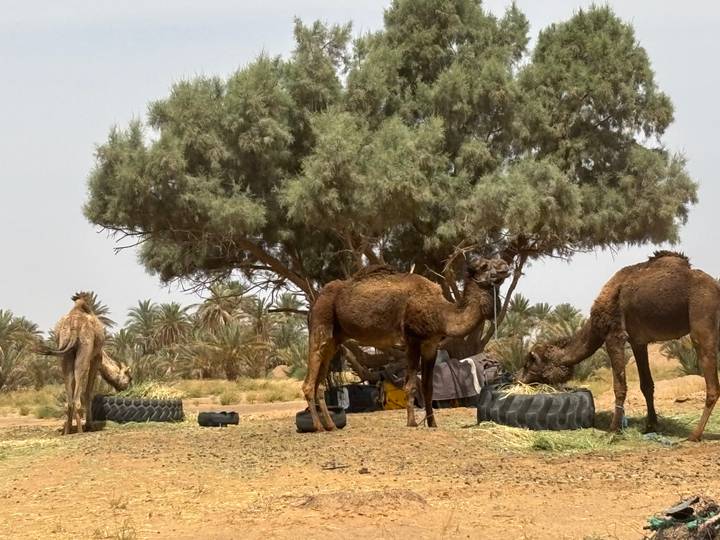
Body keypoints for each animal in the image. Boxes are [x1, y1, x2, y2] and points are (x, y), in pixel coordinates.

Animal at [40, 292, 106, 434]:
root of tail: (74, 326)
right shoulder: (97, 357)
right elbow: (88, 391)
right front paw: (89, 426)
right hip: (85, 348)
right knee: (78, 382)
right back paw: (81, 430)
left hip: (65, 352)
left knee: (69, 390)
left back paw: (67, 431)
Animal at [303, 256, 511, 432]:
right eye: (484, 266)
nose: (505, 265)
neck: (442, 314)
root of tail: (316, 301)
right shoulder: (412, 340)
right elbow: (410, 385)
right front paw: (412, 422)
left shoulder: (431, 344)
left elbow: (428, 387)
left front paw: (432, 424)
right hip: (321, 324)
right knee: (309, 381)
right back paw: (318, 427)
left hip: (335, 339)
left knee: (320, 384)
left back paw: (331, 426)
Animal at [520, 251, 720, 441]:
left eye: (529, 362)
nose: (519, 378)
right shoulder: (638, 341)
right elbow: (646, 385)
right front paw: (651, 426)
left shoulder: (614, 335)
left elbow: (619, 386)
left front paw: (613, 430)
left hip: (702, 316)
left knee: (712, 384)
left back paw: (694, 435)